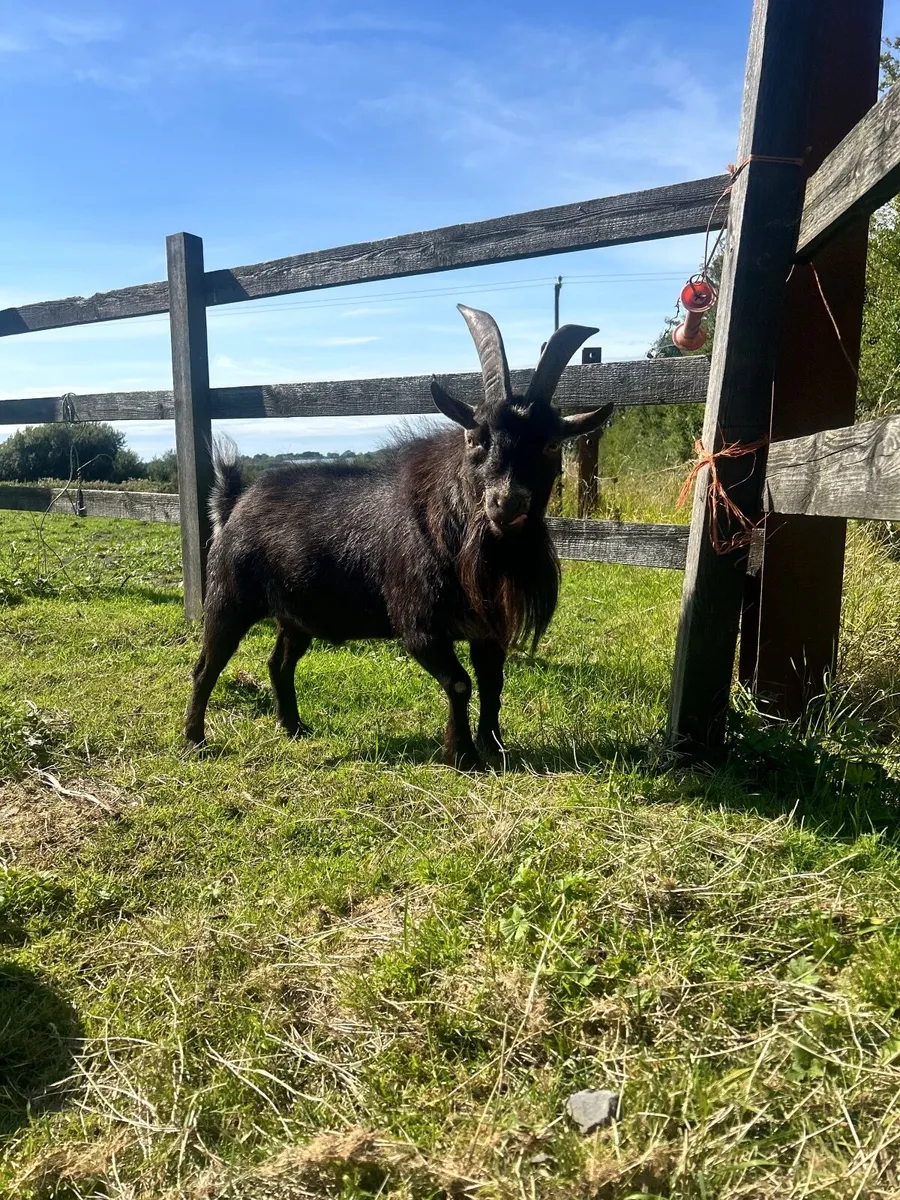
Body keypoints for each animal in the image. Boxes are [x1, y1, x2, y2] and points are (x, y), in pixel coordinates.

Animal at [185, 305, 613, 767]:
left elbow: (492, 685)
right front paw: (463, 755)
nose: (506, 503)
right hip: (230, 597)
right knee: (206, 666)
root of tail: (233, 501)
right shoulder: (419, 626)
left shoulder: (486, 630)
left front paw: (494, 747)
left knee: (279, 663)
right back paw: (194, 740)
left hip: (296, 616)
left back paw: (294, 727)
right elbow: (460, 683)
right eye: (474, 437)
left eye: (551, 445)